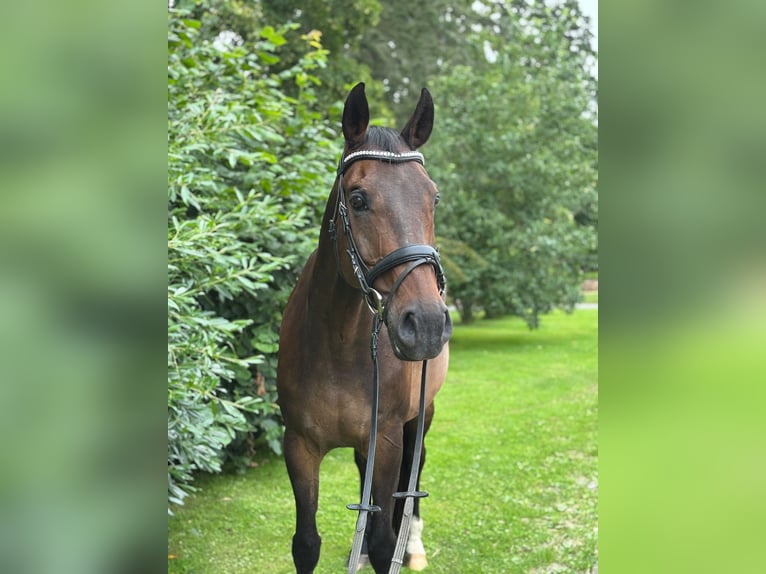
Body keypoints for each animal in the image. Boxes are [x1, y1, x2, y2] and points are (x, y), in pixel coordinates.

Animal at [277, 82, 451, 574]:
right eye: (357, 200)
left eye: (432, 198)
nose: (426, 324)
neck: (337, 343)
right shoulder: (298, 445)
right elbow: (306, 543)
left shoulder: (389, 438)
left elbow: (382, 537)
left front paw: (393, 546)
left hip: (422, 415)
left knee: (415, 471)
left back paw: (413, 547)